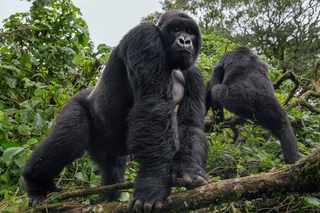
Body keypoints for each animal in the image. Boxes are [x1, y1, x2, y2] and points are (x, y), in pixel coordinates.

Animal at [22, 11, 208, 211]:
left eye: (190, 32)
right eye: (176, 29)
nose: (185, 41)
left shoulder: (195, 75)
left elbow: (190, 124)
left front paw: (189, 170)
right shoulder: (144, 37)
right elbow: (154, 106)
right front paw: (152, 184)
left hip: (107, 148)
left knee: (112, 171)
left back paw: (107, 199)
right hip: (74, 104)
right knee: (69, 139)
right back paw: (35, 184)